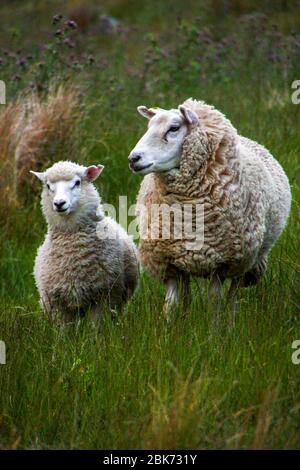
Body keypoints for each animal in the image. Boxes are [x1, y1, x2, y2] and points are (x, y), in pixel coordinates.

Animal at [128, 98, 290, 320]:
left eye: (174, 128)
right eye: (149, 126)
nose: (133, 159)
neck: (186, 212)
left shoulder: (221, 264)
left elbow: (215, 302)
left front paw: (214, 328)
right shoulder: (168, 261)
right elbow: (170, 304)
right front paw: (170, 328)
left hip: (244, 260)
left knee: (232, 295)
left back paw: (231, 323)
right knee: (187, 294)